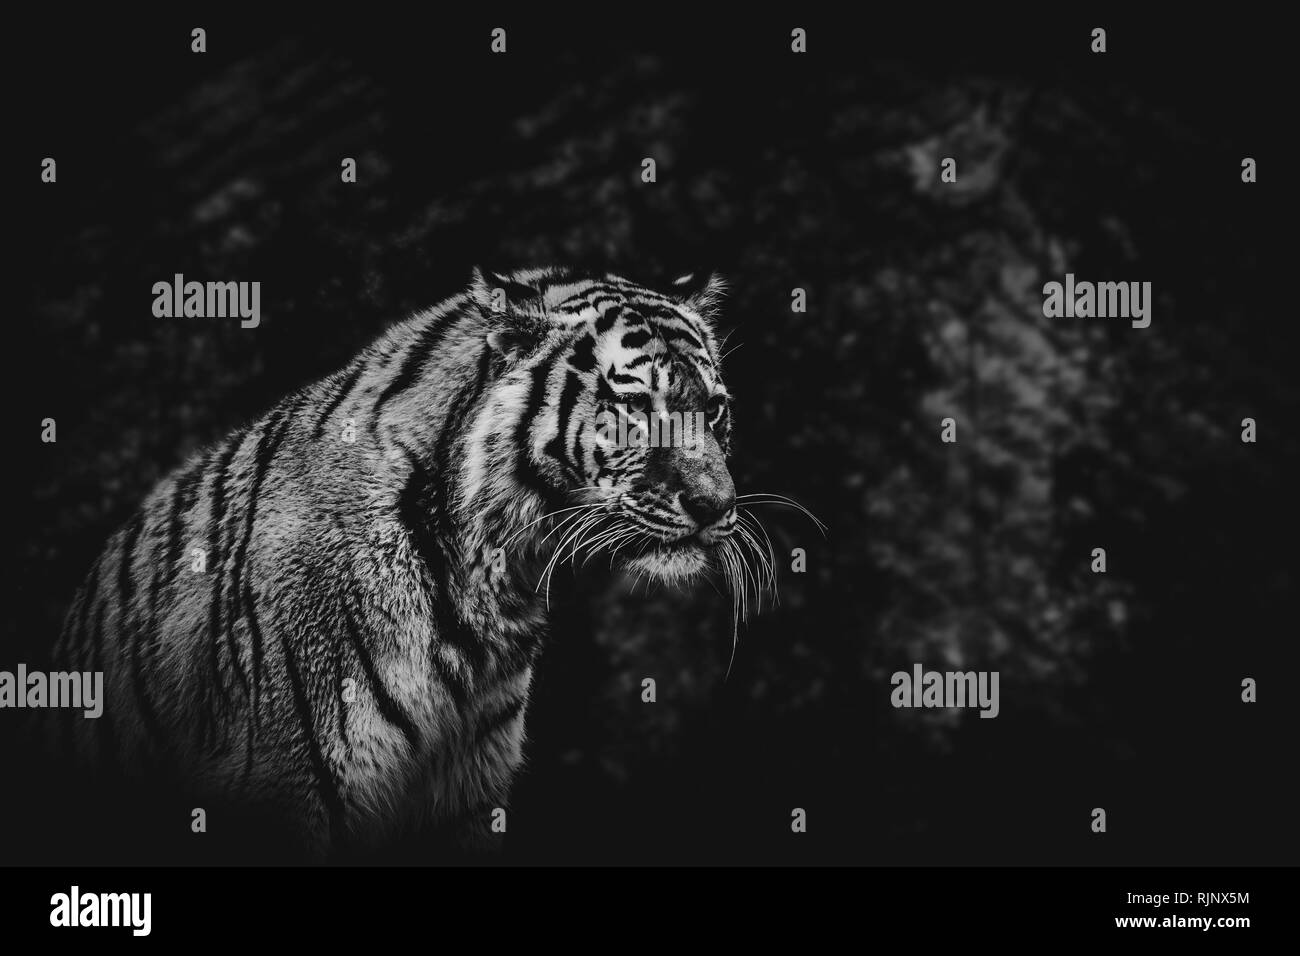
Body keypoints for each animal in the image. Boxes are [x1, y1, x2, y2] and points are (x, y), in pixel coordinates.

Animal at [43, 265, 780, 861]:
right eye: (634, 406)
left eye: (715, 410)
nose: (717, 506)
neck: (495, 584)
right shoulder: (287, 787)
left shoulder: (466, 796)